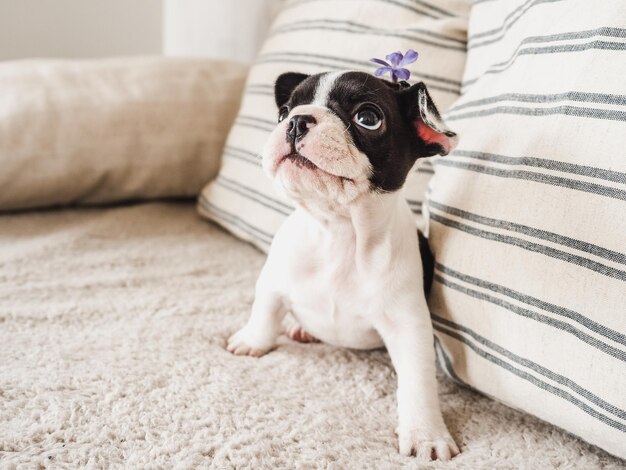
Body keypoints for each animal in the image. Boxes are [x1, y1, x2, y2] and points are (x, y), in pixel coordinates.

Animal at [227, 71, 456, 460]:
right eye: (283, 112)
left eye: (368, 118)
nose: (296, 121)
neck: (339, 231)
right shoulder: (272, 281)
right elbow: (265, 312)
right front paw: (252, 341)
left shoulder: (408, 324)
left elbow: (418, 381)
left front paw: (426, 434)